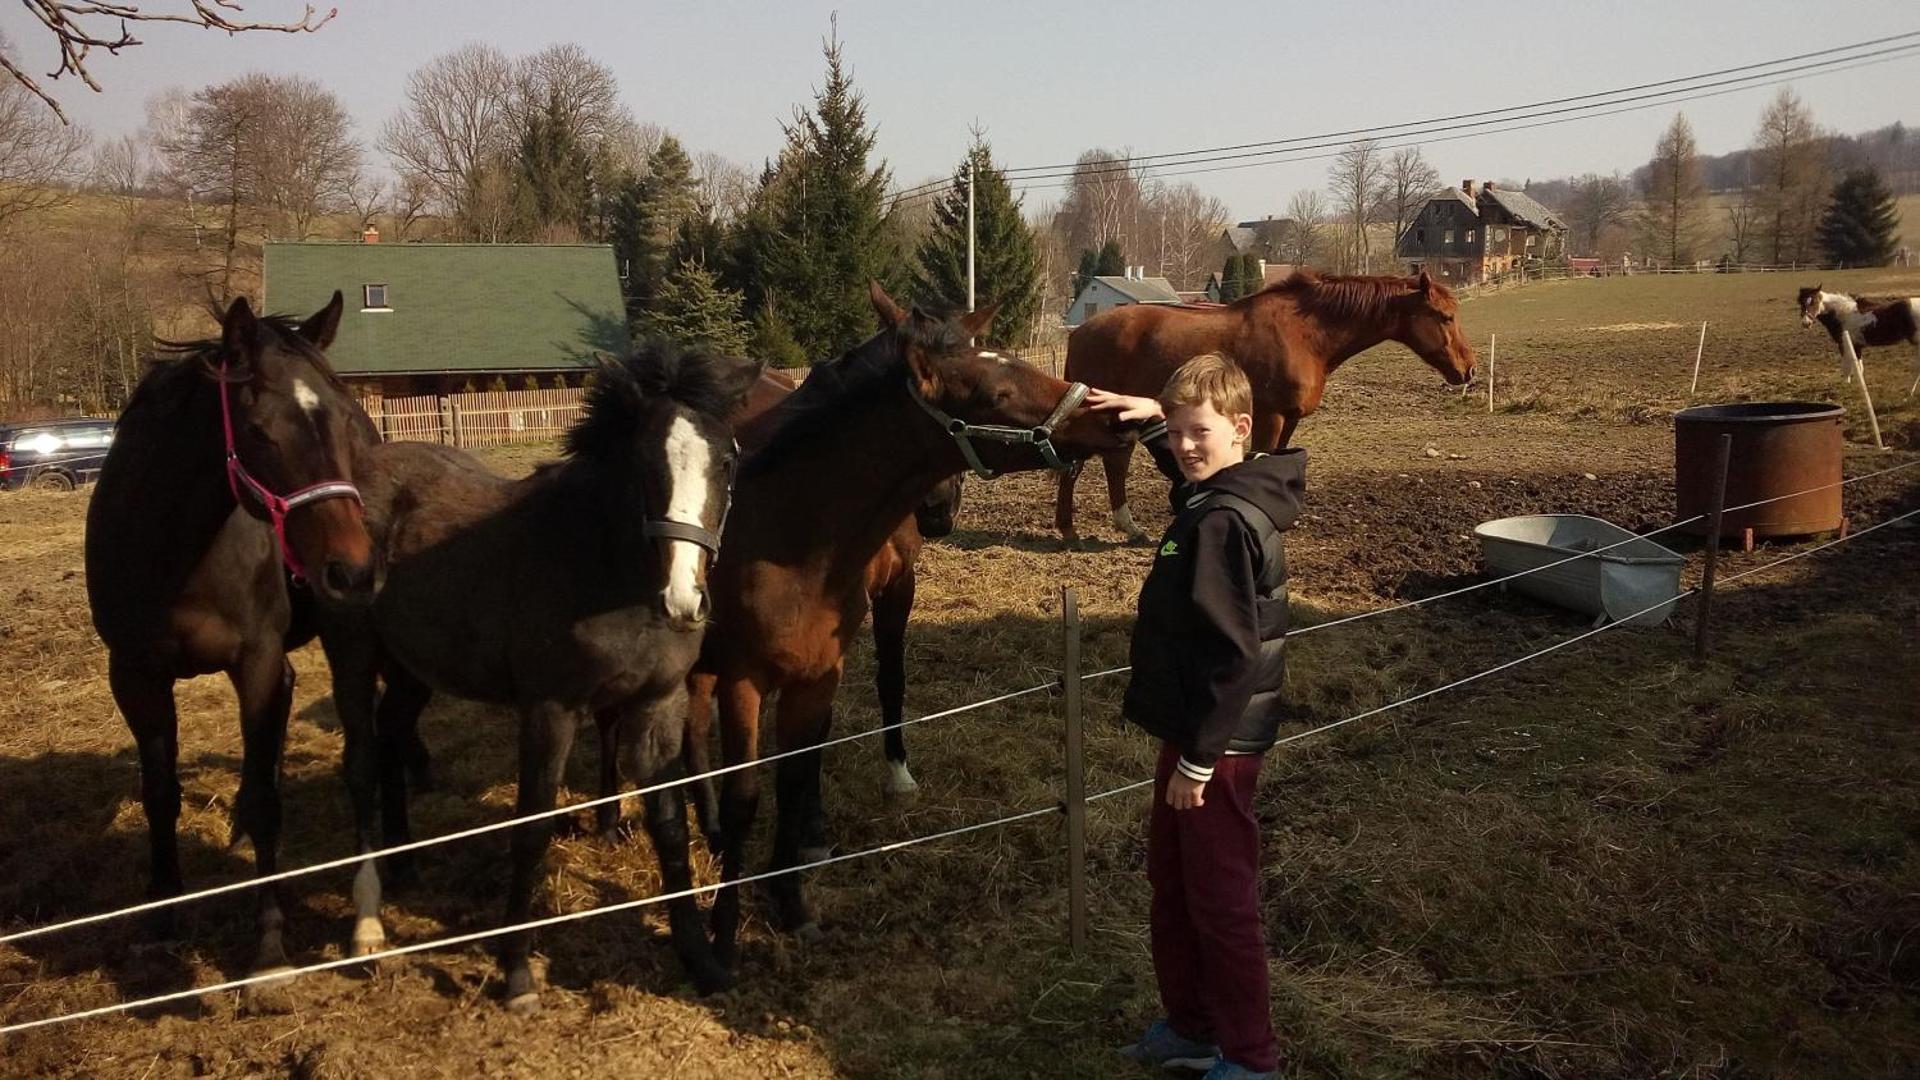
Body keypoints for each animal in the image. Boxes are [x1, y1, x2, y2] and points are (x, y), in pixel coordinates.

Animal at [84, 293, 382, 987]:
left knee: (358, 763)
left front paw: (269, 950)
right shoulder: (134, 676)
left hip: (346, 641)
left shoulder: (258, 664)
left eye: (344, 420)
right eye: (260, 430)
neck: (174, 552)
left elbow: (267, 797)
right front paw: (161, 925)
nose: (353, 570)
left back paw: (365, 917)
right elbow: (160, 795)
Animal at [315, 341, 760, 1008]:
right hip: (352, 654)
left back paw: (404, 862)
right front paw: (517, 970)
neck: (606, 570)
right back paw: (368, 924)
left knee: (393, 734)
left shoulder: (656, 705)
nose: (685, 602)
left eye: (727, 462)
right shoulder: (550, 710)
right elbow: (532, 827)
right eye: (644, 465)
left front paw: (702, 961)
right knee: (363, 762)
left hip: (414, 667)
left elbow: (670, 827)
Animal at [1055, 269, 1475, 541]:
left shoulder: (1288, 420)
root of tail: (1080, 333)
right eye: (1445, 317)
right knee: (1089, 465)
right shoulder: (1268, 417)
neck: (1305, 333)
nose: (1468, 370)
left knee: (1107, 464)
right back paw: (1078, 528)